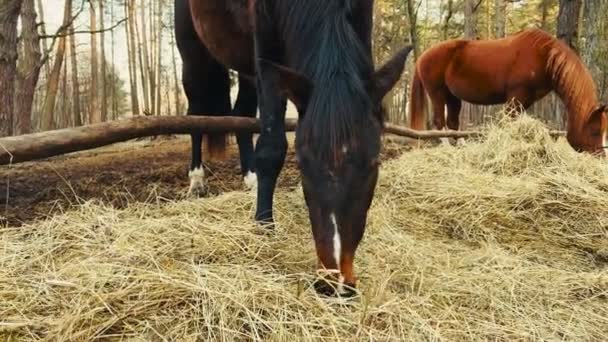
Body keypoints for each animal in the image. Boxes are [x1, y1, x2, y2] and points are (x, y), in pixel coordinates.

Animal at [175, 0, 414, 296]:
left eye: (374, 162)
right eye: (300, 163)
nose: (335, 283)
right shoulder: (266, 47)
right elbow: (271, 147)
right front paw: (264, 226)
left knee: (241, 113)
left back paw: (250, 179)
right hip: (193, 55)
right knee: (194, 114)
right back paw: (196, 180)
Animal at [408, 28, 608, 157]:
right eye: (595, 131)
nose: (600, 155)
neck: (544, 57)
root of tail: (423, 57)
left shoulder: (526, 100)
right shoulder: (515, 97)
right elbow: (508, 123)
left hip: (453, 97)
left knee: (452, 123)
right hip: (437, 93)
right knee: (439, 122)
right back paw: (448, 150)